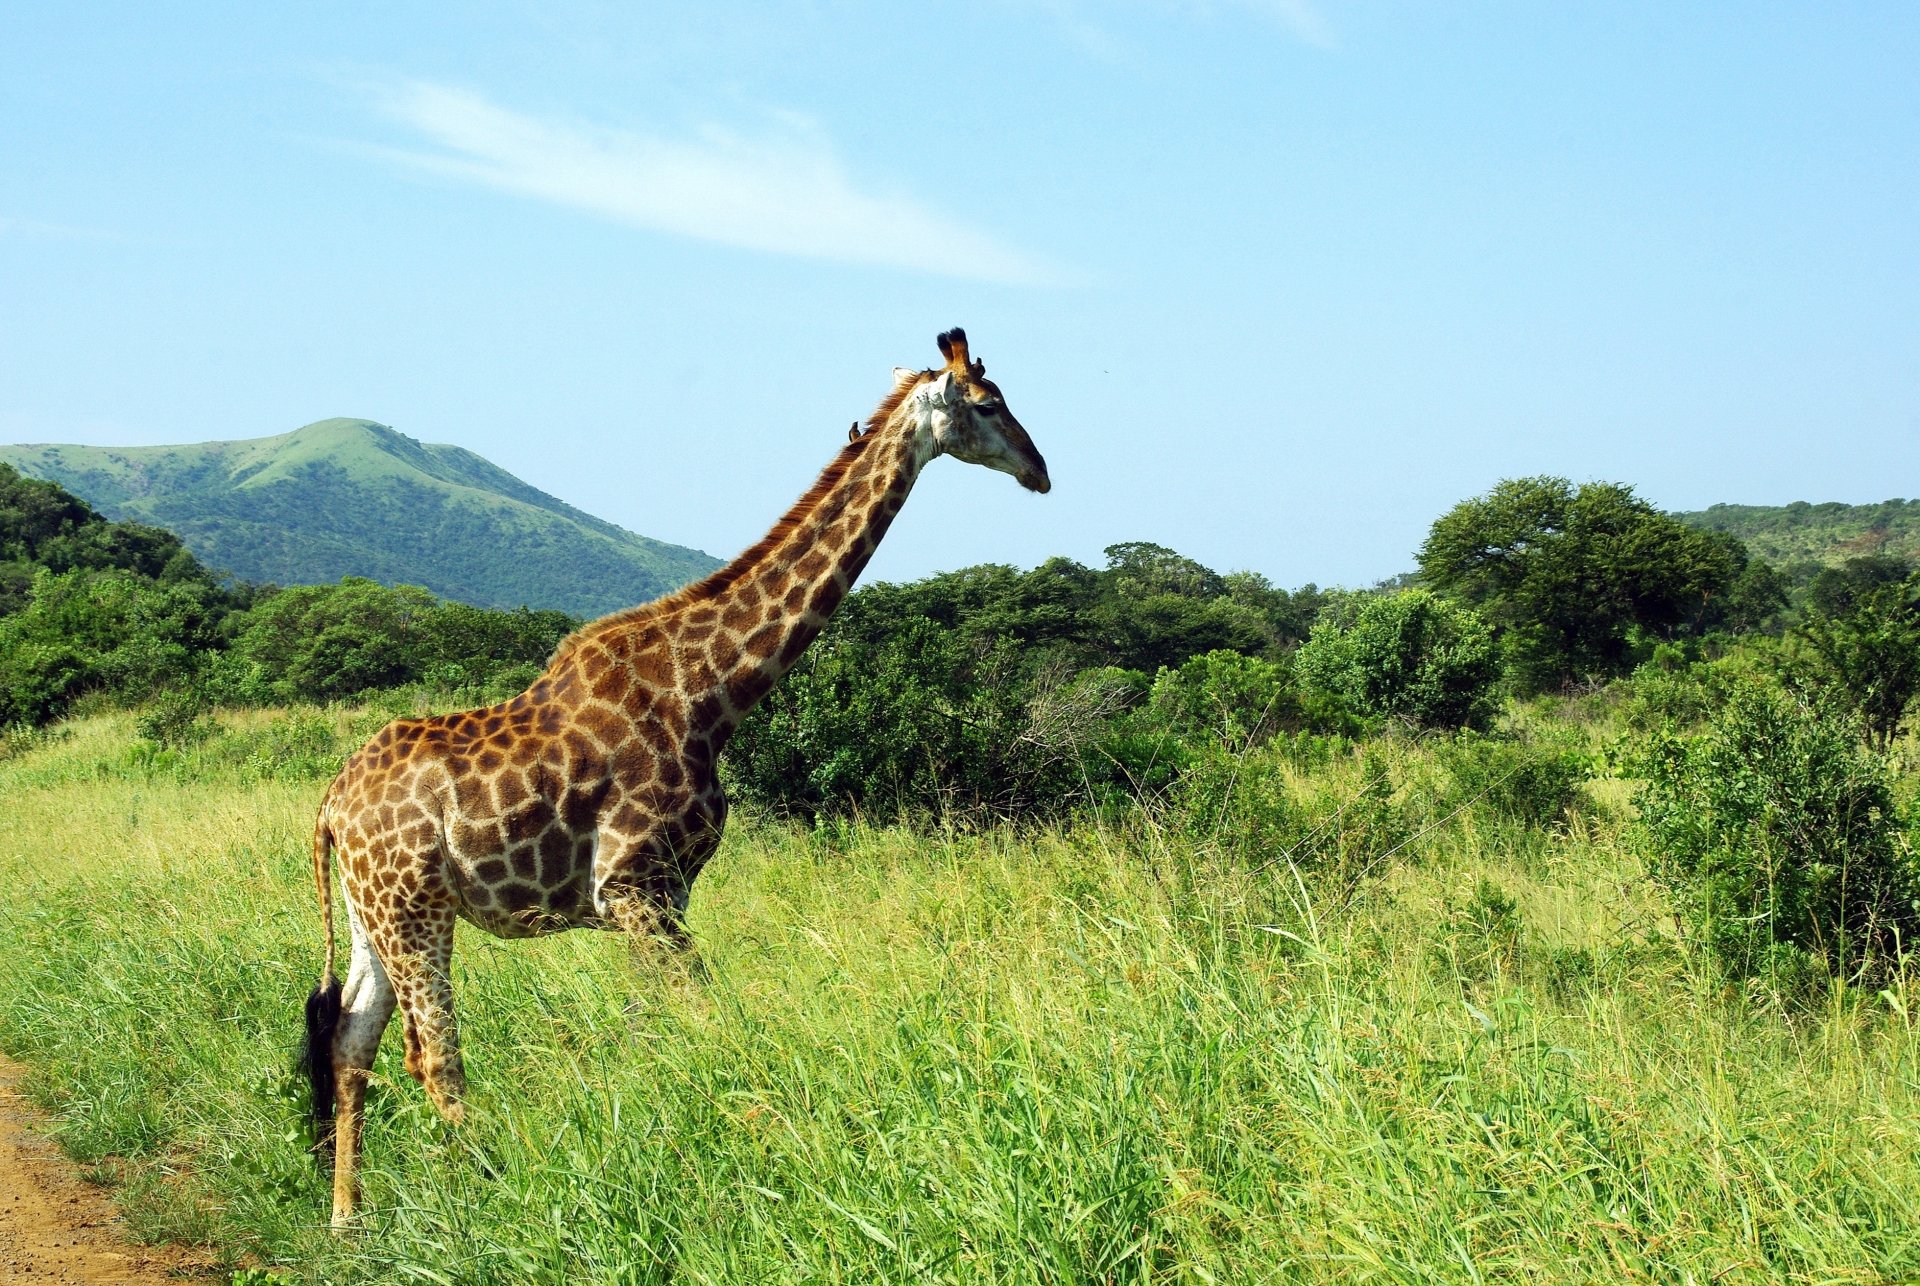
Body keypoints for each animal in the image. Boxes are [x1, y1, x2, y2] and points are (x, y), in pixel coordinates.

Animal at [302, 328, 1049, 1226]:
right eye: (989, 403)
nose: (1042, 471)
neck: (712, 692)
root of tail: (330, 807)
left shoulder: (663, 896)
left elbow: (649, 1028)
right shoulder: (635, 886)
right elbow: (703, 1016)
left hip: (373, 912)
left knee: (353, 1040)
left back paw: (348, 1218)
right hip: (414, 909)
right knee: (433, 1054)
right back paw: (490, 1193)